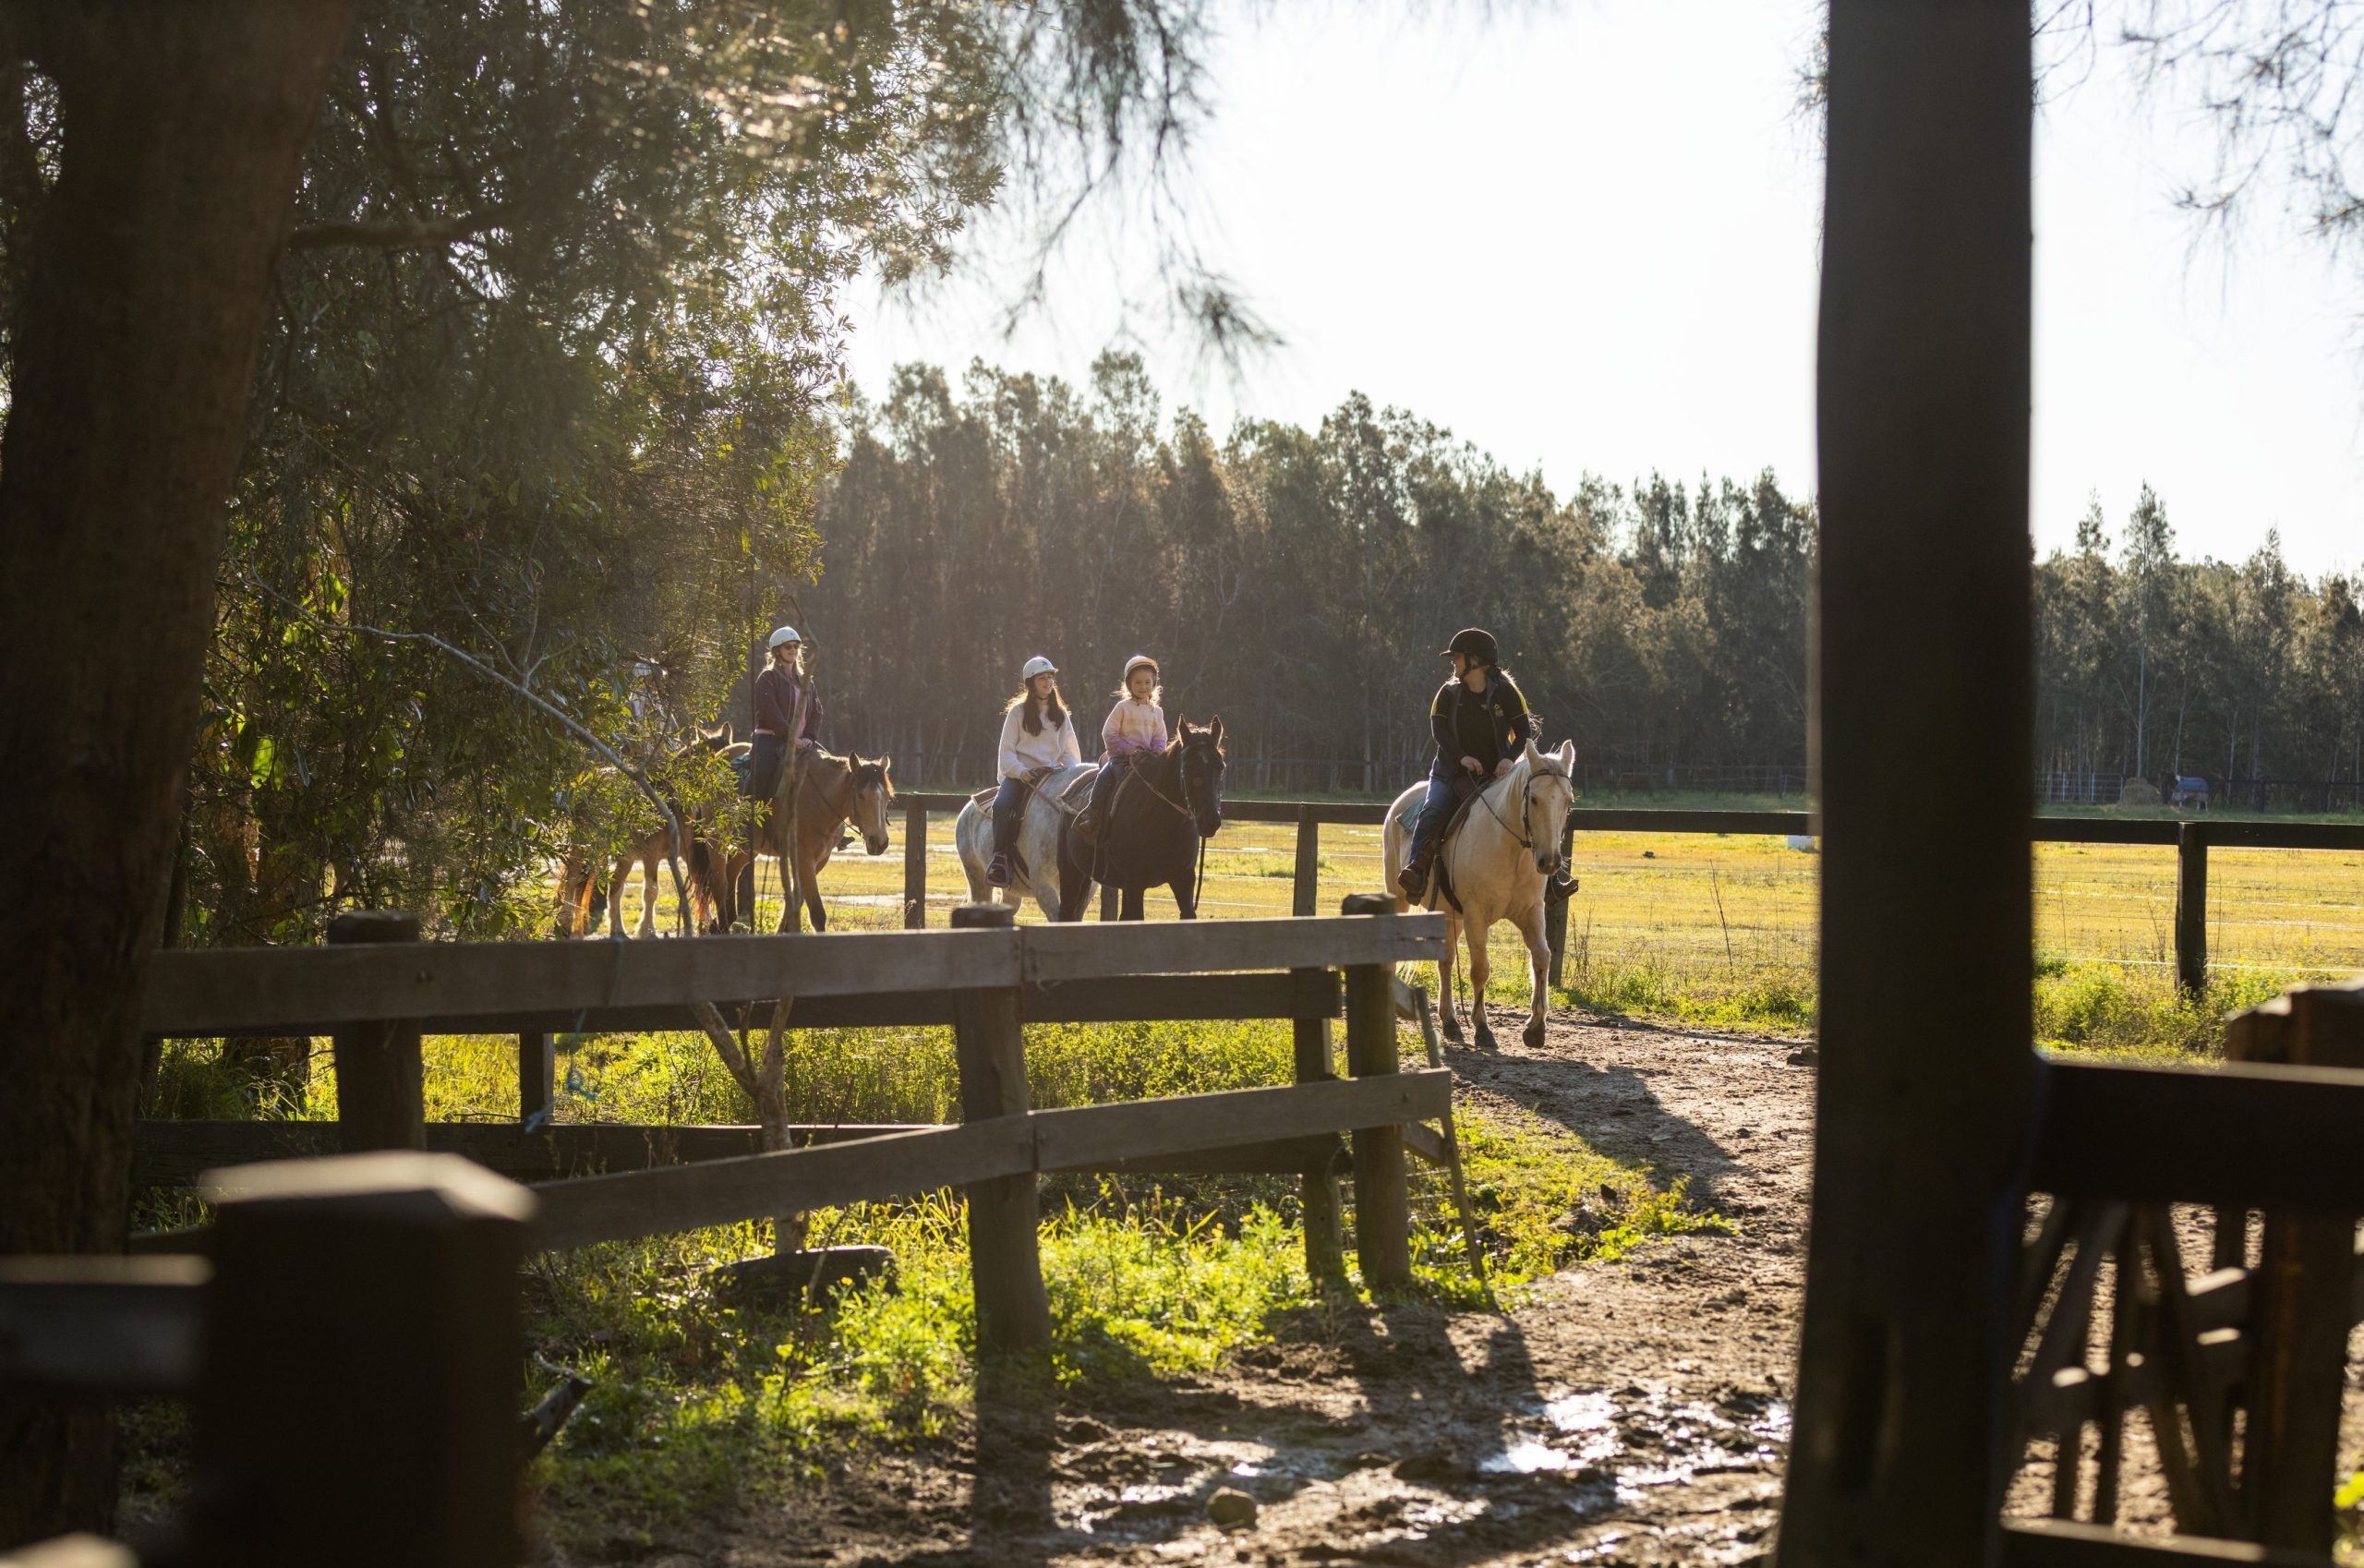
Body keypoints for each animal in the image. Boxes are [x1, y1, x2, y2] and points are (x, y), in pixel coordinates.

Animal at [705, 748, 897, 933]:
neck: (817, 802)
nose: (879, 842)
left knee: (732, 870)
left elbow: (794, 904)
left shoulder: (820, 860)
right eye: (861, 796)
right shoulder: (804, 859)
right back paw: (722, 927)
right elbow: (817, 915)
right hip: (716, 840)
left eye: (888, 797)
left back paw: (723, 922)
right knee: (720, 883)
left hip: (748, 847)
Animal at [1067, 717, 1228, 921]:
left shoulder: (1184, 879)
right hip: (1072, 873)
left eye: (1220, 767)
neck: (1164, 823)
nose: (1210, 820)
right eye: (1188, 767)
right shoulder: (1135, 883)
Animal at [1382, 739, 1577, 1050]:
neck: (1509, 848)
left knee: (1446, 961)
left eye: (1568, 801)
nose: (1550, 862)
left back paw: (1450, 1021)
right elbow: (1481, 969)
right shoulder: (1476, 915)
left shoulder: (1531, 911)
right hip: (1400, 898)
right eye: (1534, 799)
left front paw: (1536, 1027)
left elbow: (1542, 957)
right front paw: (1482, 1028)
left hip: (1450, 914)